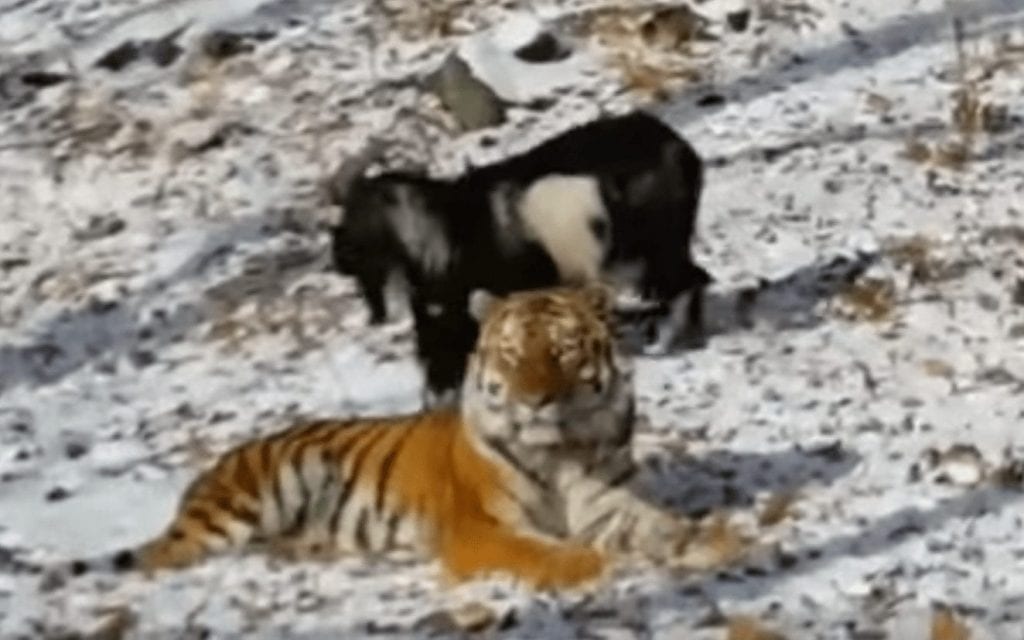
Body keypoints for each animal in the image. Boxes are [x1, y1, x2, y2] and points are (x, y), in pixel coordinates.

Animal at [57, 284, 725, 591]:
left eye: (561, 350)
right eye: (511, 356)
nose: (534, 399)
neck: (559, 450)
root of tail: (215, 464)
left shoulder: (611, 504)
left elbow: (662, 526)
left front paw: (715, 539)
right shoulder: (482, 530)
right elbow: (546, 553)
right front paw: (594, 564)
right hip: (251, 499)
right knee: (164, 556)